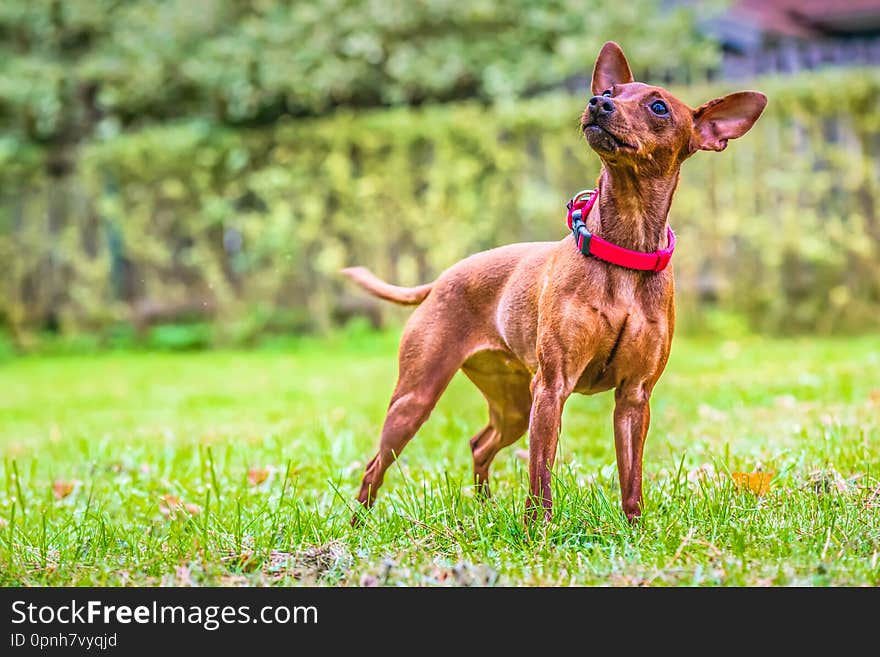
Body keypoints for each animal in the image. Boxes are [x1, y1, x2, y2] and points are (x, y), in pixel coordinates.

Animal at [342, 41, 764, 524]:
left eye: (658, 106)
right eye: (610, 91)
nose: (597, 103)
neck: (624, 249)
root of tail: (442, 279)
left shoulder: (634, 398)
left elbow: (631, 479)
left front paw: (635, 528)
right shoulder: (551, 387)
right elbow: (540, 474)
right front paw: (538, 530)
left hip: (511, 405)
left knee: (480, 444)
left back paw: (484, 507)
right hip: (417, 398)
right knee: (375, 464)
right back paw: (359, 524)